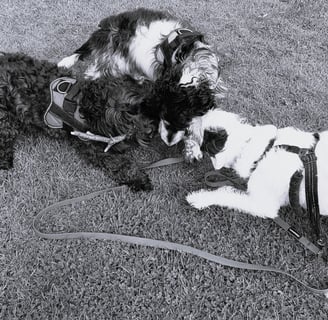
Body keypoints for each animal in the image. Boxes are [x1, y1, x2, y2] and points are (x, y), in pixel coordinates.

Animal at [0, 52, 158, 190]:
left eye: (142, 106)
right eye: (126, 120)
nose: (150, 131)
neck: (88, 104)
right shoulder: (94, 147)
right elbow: (120, 163)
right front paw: (139, 180)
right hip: (6, 118)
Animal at [186, 109, 328, 221]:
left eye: (200, 129)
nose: (187, 121)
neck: (265, 149)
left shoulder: (265, 205)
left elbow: (225, 195)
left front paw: (199, 198)